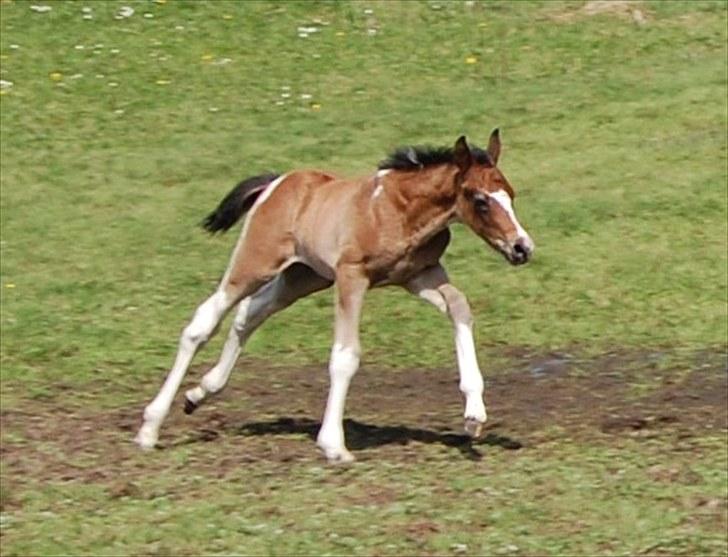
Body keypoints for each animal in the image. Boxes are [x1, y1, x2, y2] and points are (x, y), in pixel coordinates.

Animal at [136, 130, 536, 460]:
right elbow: (346, 355)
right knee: (204, 322)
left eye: (511, 196)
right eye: (479, 199)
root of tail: (277, 182)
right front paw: (333, 445)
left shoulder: (420, 274)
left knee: (251, 313)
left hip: (303, 276)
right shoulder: (351, 277)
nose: (522, 248)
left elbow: (460, 307)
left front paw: (474, 414)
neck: (399, 209)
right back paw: (149, 428)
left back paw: (200, 393)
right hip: (256, 263)